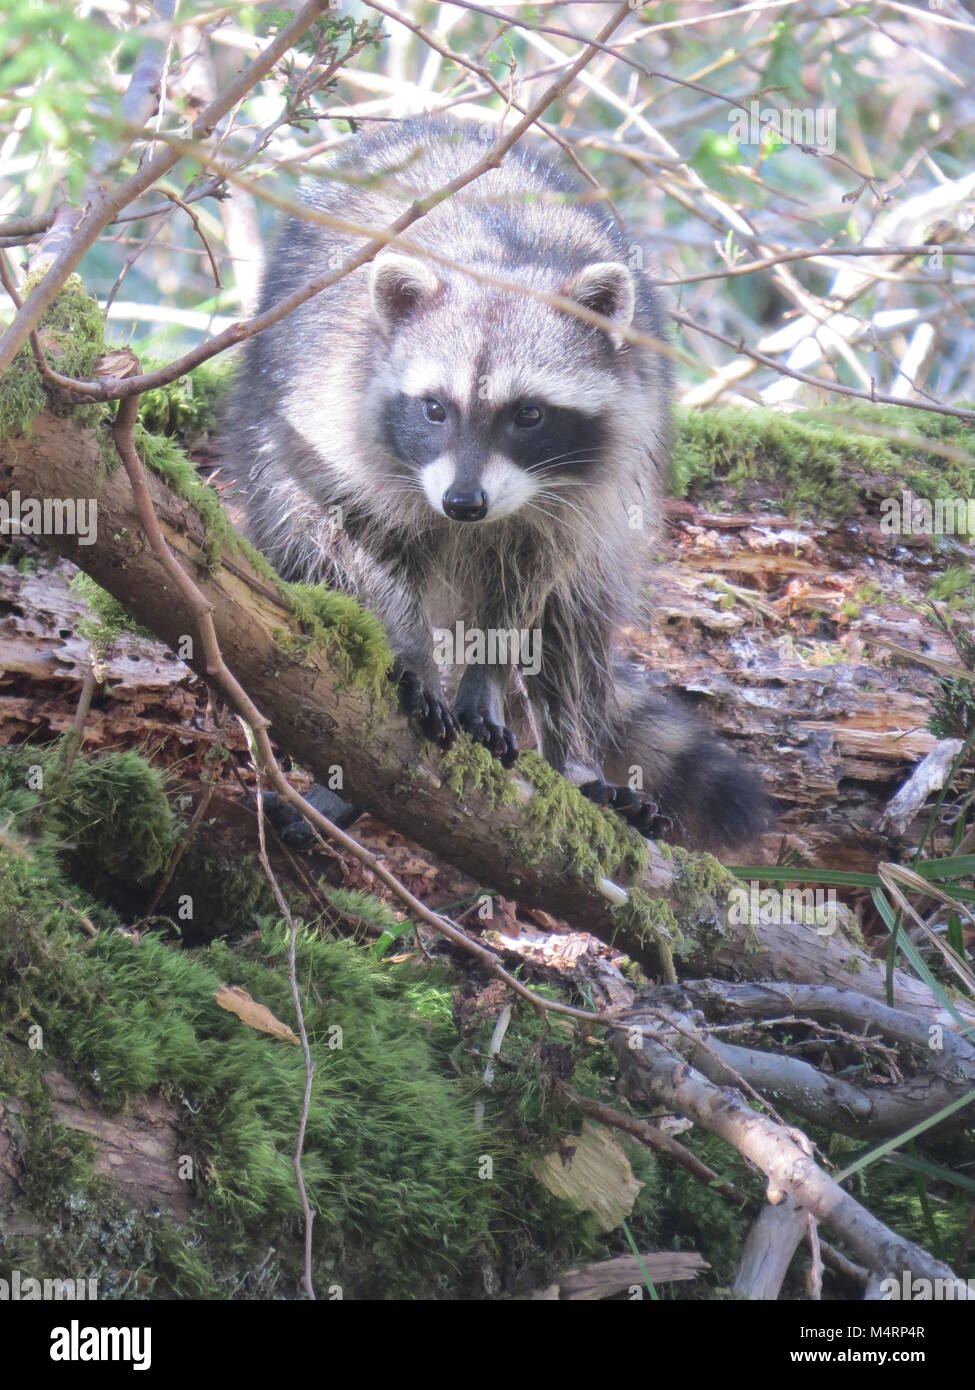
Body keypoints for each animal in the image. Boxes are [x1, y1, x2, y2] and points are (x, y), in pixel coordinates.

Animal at [222, 116, 767, 845]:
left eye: (527, 415)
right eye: (435, 408)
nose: (463, 503)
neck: (496, 263)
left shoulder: (581, 494)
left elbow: (529, 589)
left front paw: (487, 678)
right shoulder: (330, 424)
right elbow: (354, 550)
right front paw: (411, 652)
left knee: (576, 624)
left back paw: (576, 761)